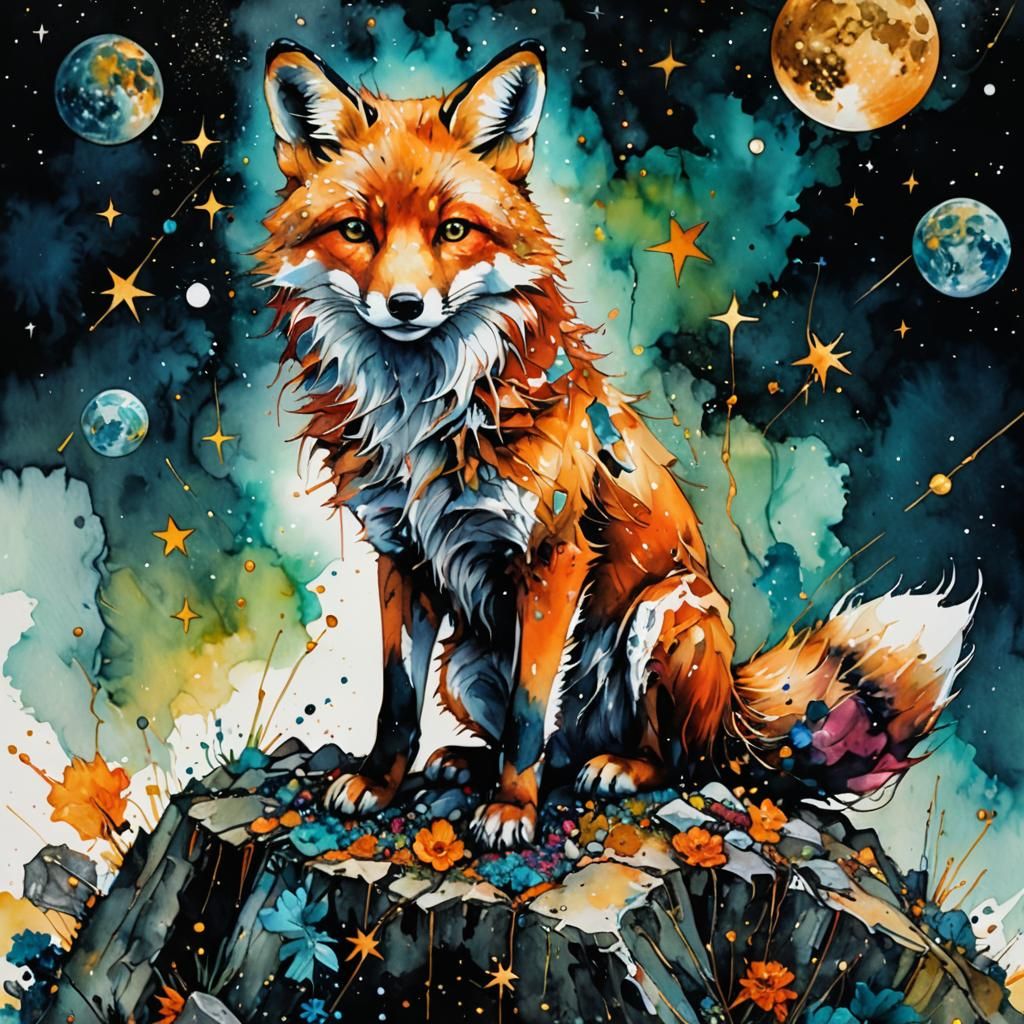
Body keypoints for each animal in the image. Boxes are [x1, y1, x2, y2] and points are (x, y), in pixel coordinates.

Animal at [255, 38, 976, 850]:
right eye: (357, 230)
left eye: (453, 231)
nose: (405, 306)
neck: (424, 417)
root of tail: (735, 707)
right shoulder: (400, 556)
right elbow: (398, 701)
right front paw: (381, 782)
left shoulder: (555, 555)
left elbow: (529, 714)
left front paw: (512, 811)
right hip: (467, 664)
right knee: (551, 748)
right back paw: (471, 764)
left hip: (668, 615)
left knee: (675, 760)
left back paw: (615, 770)